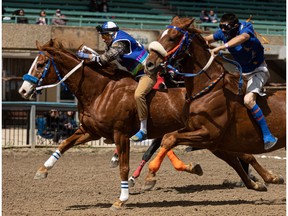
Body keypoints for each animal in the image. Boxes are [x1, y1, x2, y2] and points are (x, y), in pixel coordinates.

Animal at [18, 38, 284, 209]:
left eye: (40, 64)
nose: (23, 90)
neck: (101, 89)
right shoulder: (90, 130)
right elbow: (63, 144)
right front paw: (43, 170)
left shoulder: (120, 134)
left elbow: (125, 166)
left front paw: (123, 198)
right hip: (211, 138)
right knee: (236, 157)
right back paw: (259, 182)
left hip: (208, 135)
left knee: (241, 156)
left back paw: (265, 178)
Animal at [145, 16, 284, 185]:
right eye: (160, 35)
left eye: (172, 38)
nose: (149, 64)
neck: (208, 89)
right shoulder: (200, 133)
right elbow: (167, 137)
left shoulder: (209, 134)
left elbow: (169, 139)